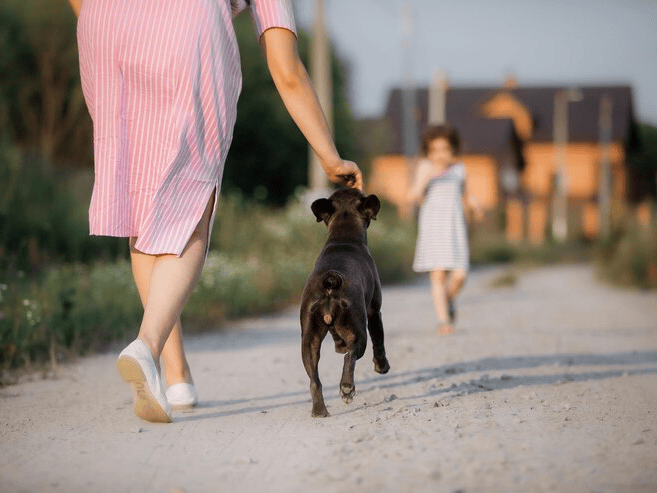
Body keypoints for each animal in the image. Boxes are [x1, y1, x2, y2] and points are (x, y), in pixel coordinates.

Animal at [302, 187, 392, 416]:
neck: (343, 239)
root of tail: (330, 281)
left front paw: (339, 345)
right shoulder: (374, 311)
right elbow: (379, 340)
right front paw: (382, 366)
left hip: (309, 340)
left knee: (314, 380)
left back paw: (320, 411)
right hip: (358, 331)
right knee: (350, 357)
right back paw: (347, 389)